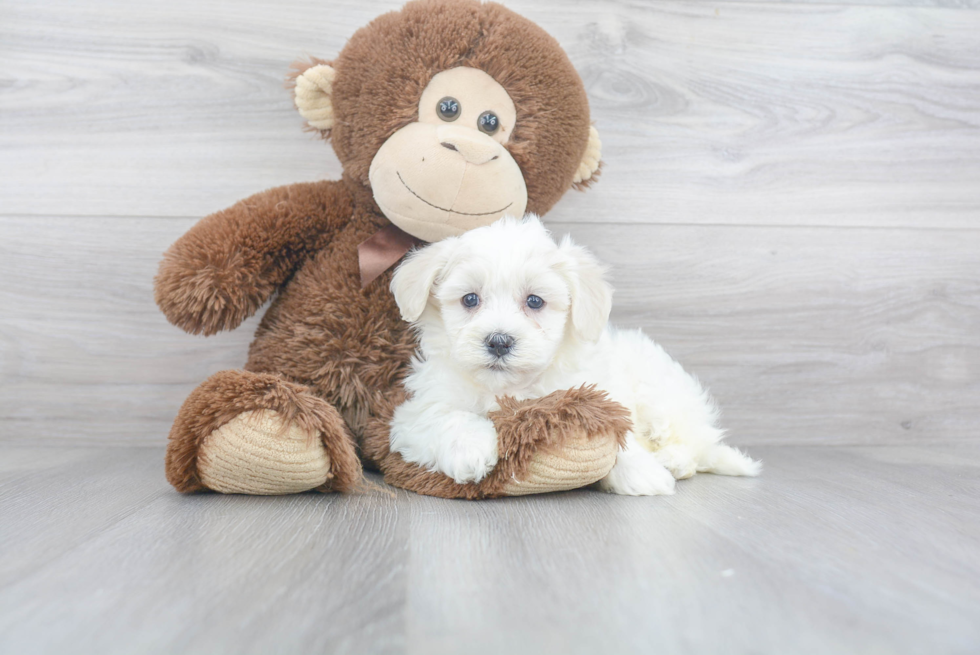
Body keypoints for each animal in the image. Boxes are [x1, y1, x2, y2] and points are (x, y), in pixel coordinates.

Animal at [386, 218, 760, 494]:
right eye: (469, 299)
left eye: (534, 301)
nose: (499, 341)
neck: (511, 389)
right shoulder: (415, 412)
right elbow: (449, 416)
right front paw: (471, 452)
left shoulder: (597, 395)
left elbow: (619, 434)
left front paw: (642, 472)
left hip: (660, 395)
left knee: (694, 444)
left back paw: (671, 461)